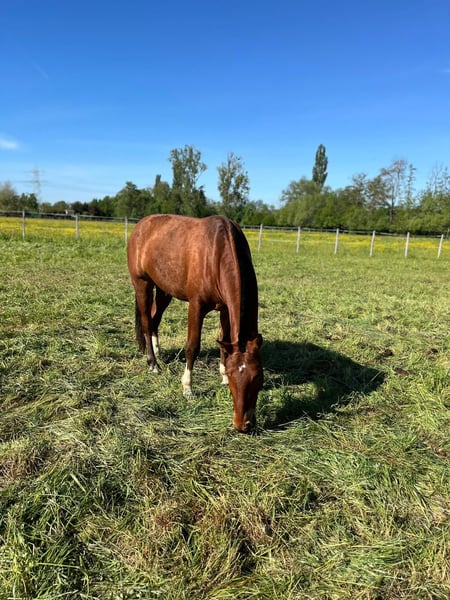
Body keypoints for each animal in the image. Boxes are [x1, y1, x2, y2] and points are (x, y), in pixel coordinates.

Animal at [127, 214, 263, 432]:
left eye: (258, 376)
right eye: (234, 377)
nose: (244, 425)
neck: (217, 251)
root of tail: (141, 225)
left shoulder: (225, 308)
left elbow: (225, 342)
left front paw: (222, 375)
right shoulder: (196, 306)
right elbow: (192, 347)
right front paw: (187, 387)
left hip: (164, 289)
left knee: (155, 320)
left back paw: (157, 351)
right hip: (142, 285)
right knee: (147, 323)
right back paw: (153, 364)